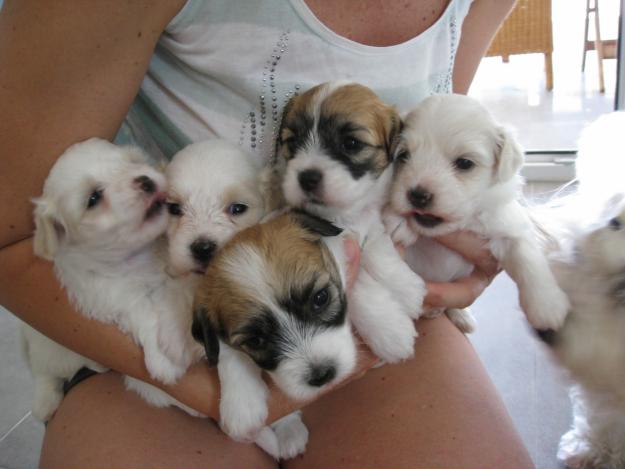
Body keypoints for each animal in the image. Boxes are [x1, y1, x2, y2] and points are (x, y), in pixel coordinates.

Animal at [21, 138, 195, 420]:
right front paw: (163, 361)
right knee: (45, 371)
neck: (138, 256)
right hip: (51, 348)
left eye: (133, 162)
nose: (145, 180)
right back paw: (45, 402)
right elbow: (143, 313)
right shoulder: (114, 297)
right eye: (93, 198)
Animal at [266, 82, 426, 364]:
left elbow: (381, 254)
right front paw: (391, 331)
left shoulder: (371, 227)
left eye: (351, 143)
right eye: (293, 141)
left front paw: (405, 288)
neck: (342, 216)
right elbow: (359, 285)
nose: (307, 177)